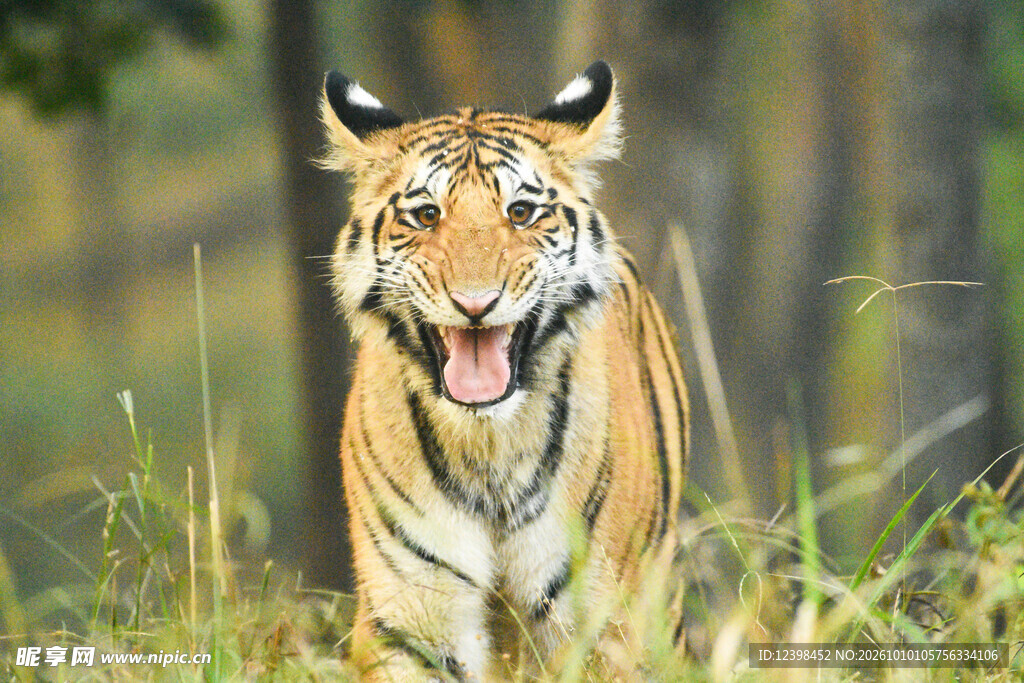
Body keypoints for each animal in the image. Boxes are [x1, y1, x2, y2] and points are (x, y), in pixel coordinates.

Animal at [319, 61, 689, 681]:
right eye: (427, 215)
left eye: (520, 212)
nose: (475, 302)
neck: (487, 445)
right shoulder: (411, 619)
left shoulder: (605, 625)